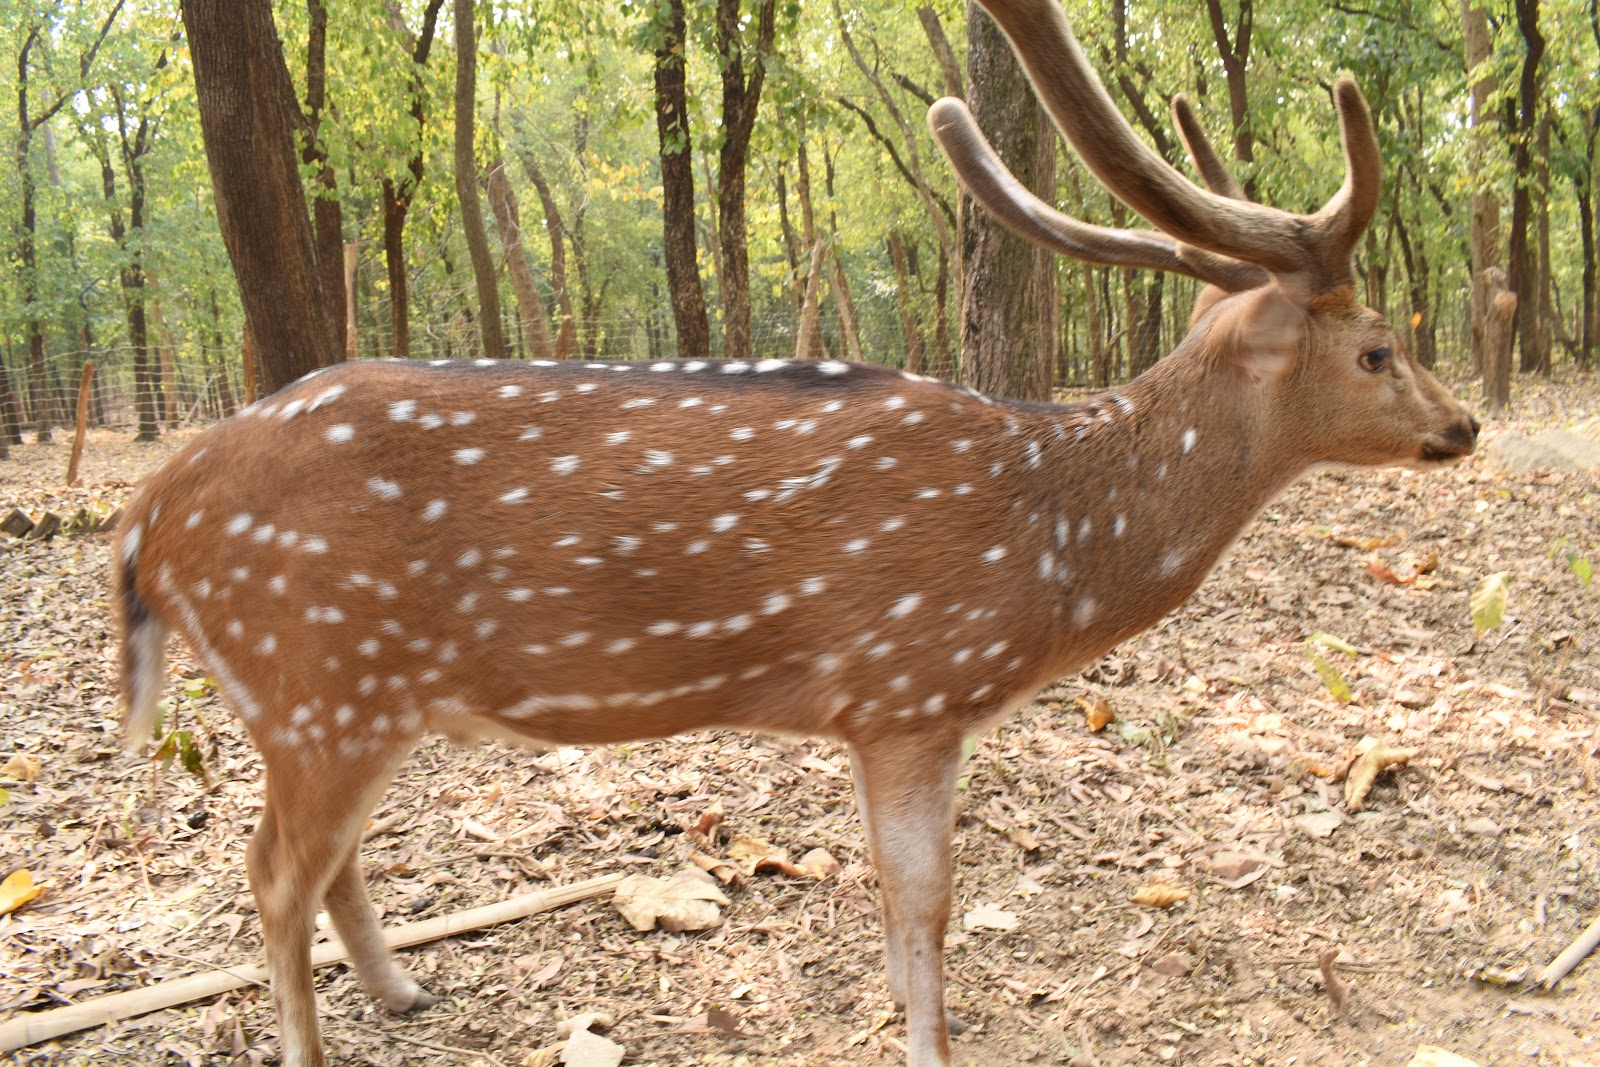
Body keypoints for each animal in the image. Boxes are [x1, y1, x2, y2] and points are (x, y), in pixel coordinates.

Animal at [113, 0, 1476, 1064]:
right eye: (1376, 348)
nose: (1461, 423)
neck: (1053, 540)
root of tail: (143, 524)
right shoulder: (909, 689)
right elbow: (923, 905)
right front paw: (931, 1042)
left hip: (347, 701)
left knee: (320, 859)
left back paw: (405, 987)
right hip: (313, 674)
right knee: (269, 871)